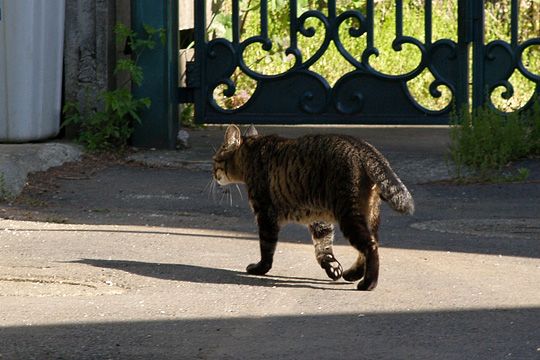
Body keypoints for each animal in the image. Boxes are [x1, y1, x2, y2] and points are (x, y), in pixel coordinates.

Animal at [213, 125, 416, 292]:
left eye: (215, 160)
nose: (213, 174)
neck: (252, 152)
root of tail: (361, 146)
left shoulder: (265, 214)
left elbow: (266, 247)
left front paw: (260, 268)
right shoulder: (319, 217)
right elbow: (323, 245)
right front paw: (332, 266)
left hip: (349, 214)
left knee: (371, 246)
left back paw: (368, 283)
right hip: (369, 213)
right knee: (370, 244)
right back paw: (353, 274)